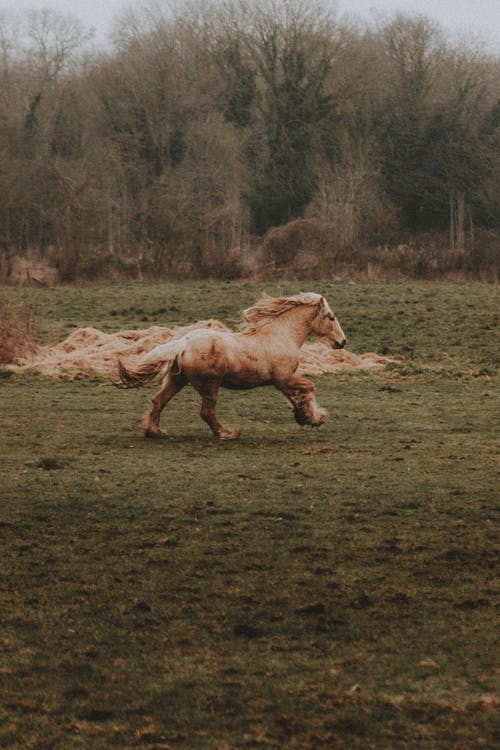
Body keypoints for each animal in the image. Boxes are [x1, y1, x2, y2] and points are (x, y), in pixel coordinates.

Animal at [117, 292, 346, 440]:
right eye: (331, 317)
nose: (342, 342)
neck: (281, 336)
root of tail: (183, 343)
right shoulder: (284, 377)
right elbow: (309, 388)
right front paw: (315, 417)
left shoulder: (282, 381)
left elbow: (296, 396)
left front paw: (304, 416)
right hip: (209, 385)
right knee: (206, 412)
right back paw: (227, 434)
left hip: (177, 380)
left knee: (158, 401)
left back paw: (154, 432)